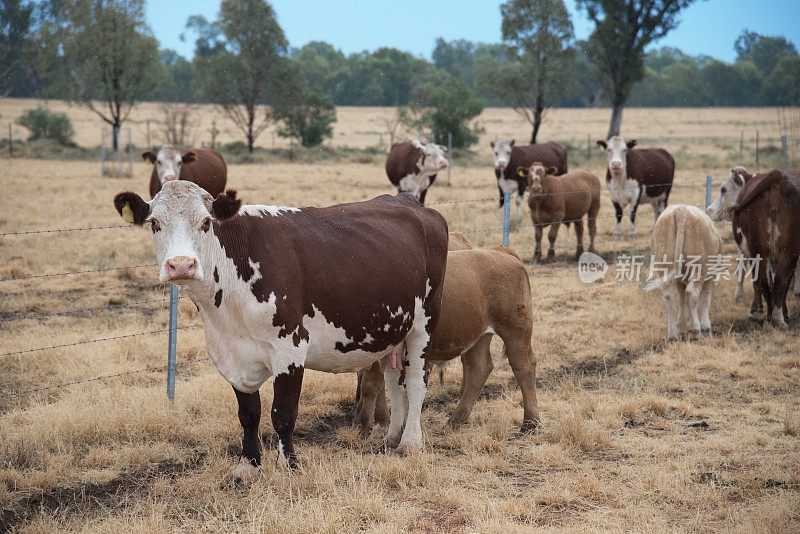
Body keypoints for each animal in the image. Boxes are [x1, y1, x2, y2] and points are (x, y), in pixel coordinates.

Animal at [113, 183, 450, 486]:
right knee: (394, 382)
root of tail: (412, 203)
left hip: (424, 322)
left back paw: (410, 441)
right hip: (394, 330)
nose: (181, 265)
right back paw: (393, 436)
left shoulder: (290, 349)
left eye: (206, 222)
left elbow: (283, 413)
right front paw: (248, 466)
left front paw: (288, 466)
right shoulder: (233, 355)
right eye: (155, 223)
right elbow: (248, 413)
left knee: (417, 382)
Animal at [354, 245, 540, 438]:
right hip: (477, 335)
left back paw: (531, 422)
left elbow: (371, 386)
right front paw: (378, 422)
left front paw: (366, 424)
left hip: (515, 329)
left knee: (523, 367)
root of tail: (500, 251)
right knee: (479, 368)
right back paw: (457, 419)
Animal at [644, 203, 724, 342]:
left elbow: (681, 297)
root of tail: (681, 209)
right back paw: (695, 330)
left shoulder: (679, 279)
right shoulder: (710, 276)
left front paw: (681, 322)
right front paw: (706, 327)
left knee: (669, 295)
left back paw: (672, 334)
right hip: (699, 268)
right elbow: (705, 299)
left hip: (665, 264)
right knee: (692, 293)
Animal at [732, 170, 800, 326]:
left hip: (759, 249)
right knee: (780, 280)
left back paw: (768, 316)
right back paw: (779, 319)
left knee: (765, 280)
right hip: (789, 249)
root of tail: (777, 175)